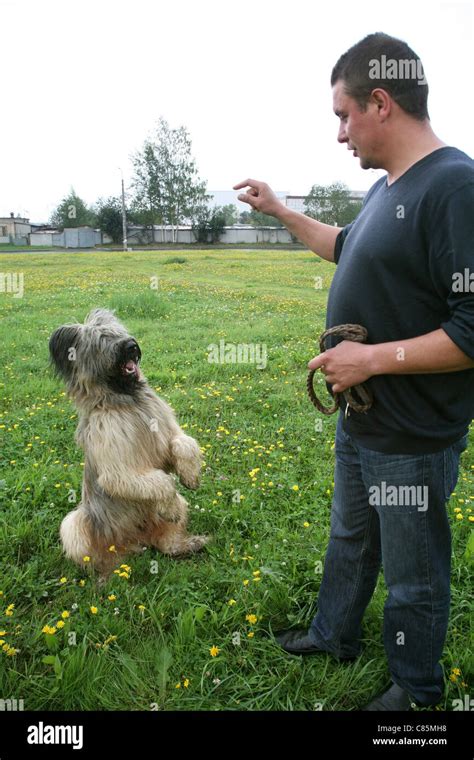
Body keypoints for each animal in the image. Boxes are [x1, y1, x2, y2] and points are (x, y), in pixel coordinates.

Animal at [49, 308, 208, 576]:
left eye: (118, 332)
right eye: (101, 340)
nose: (131, 346)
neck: (127, 401)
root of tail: (136, 541)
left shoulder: (166, 434)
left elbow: (184, 444)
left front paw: (190, 476)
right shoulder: (118, 471)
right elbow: (162, 481)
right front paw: (171, 506)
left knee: (166, 541)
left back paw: (186, 544)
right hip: (75, 524)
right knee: (97, 558)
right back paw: (107, 574)